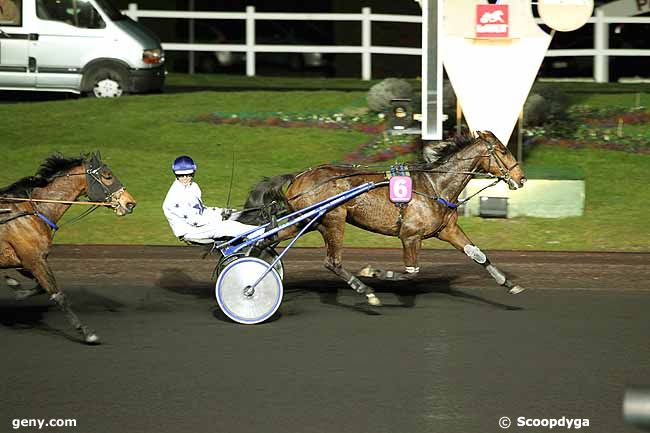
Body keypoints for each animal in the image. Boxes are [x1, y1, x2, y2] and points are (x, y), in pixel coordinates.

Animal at [0, 152, 135, 340]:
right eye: (108, 176)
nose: (130, 203)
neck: (33, 210)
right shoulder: (34, 260)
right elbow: (58, 295)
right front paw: (86, 333)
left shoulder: (29, 262)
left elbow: (41, 287)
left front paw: (17, 288)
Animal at [238, 130, 528, 306]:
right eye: (502, 150)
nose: (521, 178)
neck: (435, 185)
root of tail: (299, 175)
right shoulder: (410, 235)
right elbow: (411, 272)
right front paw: (373, 272)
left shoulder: (447, 230)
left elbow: (478, 255)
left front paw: (509, 283)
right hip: (332, 219)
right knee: (332, 262)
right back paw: (365, 291)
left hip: (306, 221)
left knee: (265, 240)